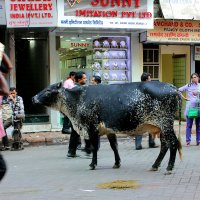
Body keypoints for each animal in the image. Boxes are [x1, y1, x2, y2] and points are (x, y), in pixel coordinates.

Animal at [32, 81, 182, 173]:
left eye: (48, 90)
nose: (33, 98)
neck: (77, 99)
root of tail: (173, 87)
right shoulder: (109, 130)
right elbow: (114, 146)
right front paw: (117, 163)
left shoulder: (91, 127)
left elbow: (93, 147)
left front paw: (92, 164)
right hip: (162, 127)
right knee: (165, 145)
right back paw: (155, 165)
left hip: (166, 124)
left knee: (173, 143)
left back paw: (169, 168)